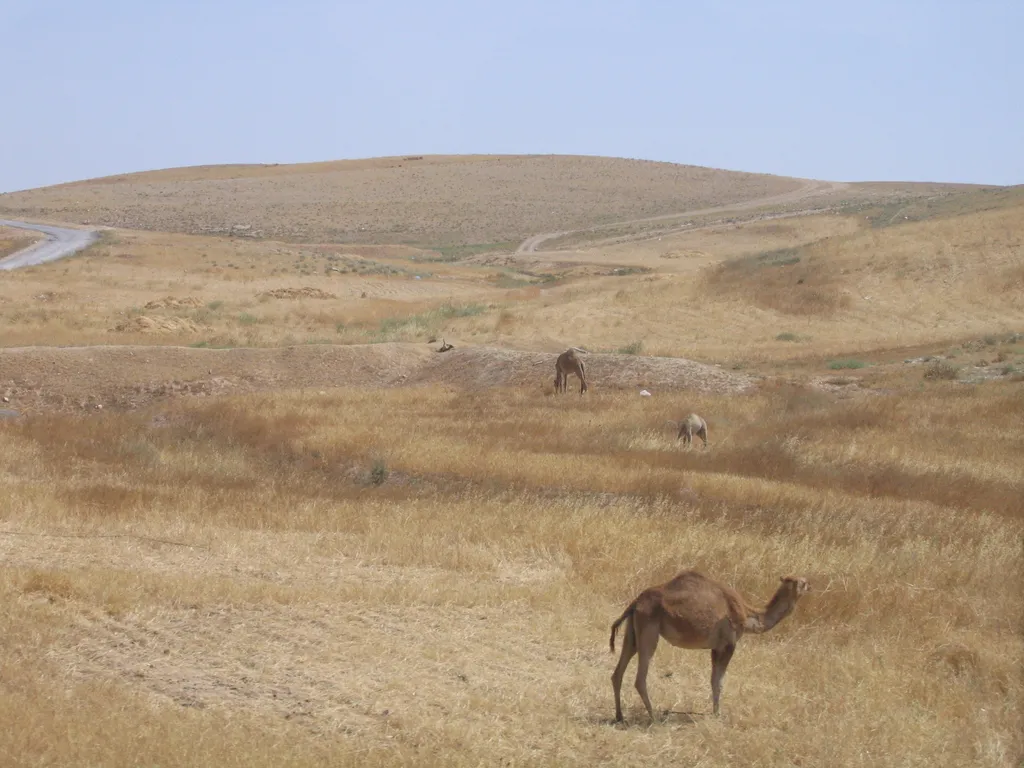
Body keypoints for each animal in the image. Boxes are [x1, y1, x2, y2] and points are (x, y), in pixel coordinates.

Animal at [610, 570, 810, 721]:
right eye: (803, 582)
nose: (811, 584)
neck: (748, 615)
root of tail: (636, 603)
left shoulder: (715, 647)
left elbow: (713, 680)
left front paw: (715, 712)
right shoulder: (729, 644)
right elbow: (719, 682)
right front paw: (718, 714)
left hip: (633, 631)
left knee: (618, 672)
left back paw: (620, 716)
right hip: (649, 629)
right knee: (640, 677)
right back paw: (653, 717)